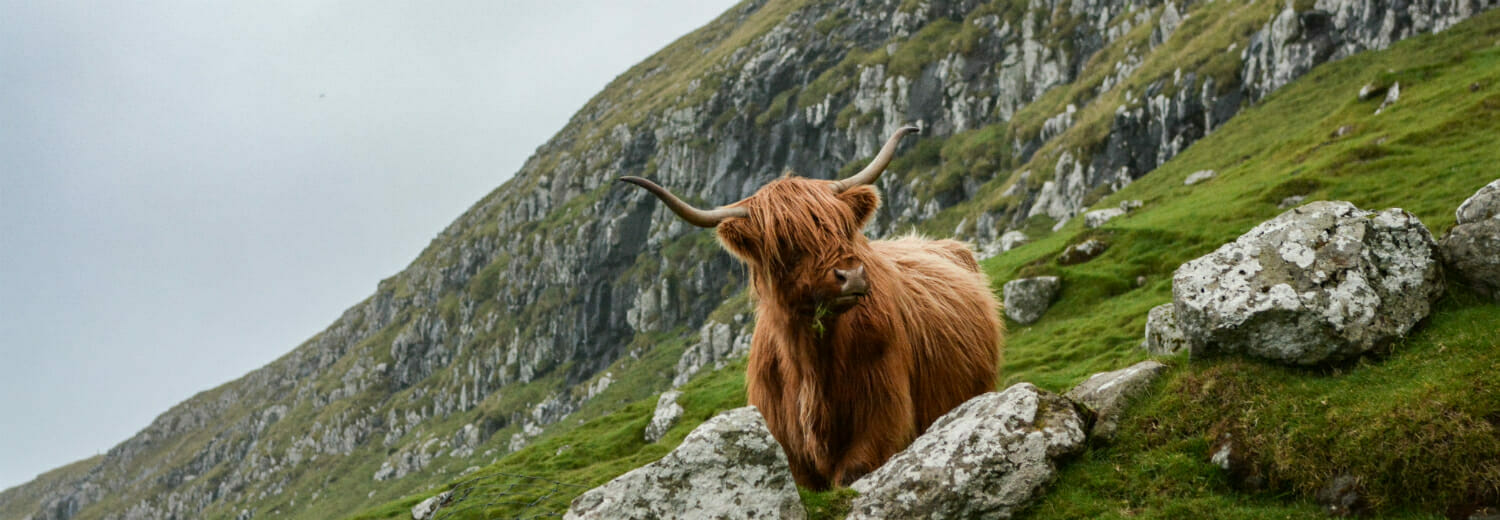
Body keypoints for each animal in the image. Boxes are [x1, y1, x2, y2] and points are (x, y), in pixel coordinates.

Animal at [621, 126, 1008, 488]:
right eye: (785, 243)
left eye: (843, 227)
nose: (852, 276)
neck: (812, 366)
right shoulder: (788, 448)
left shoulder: (882, 421)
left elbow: (852, 472)